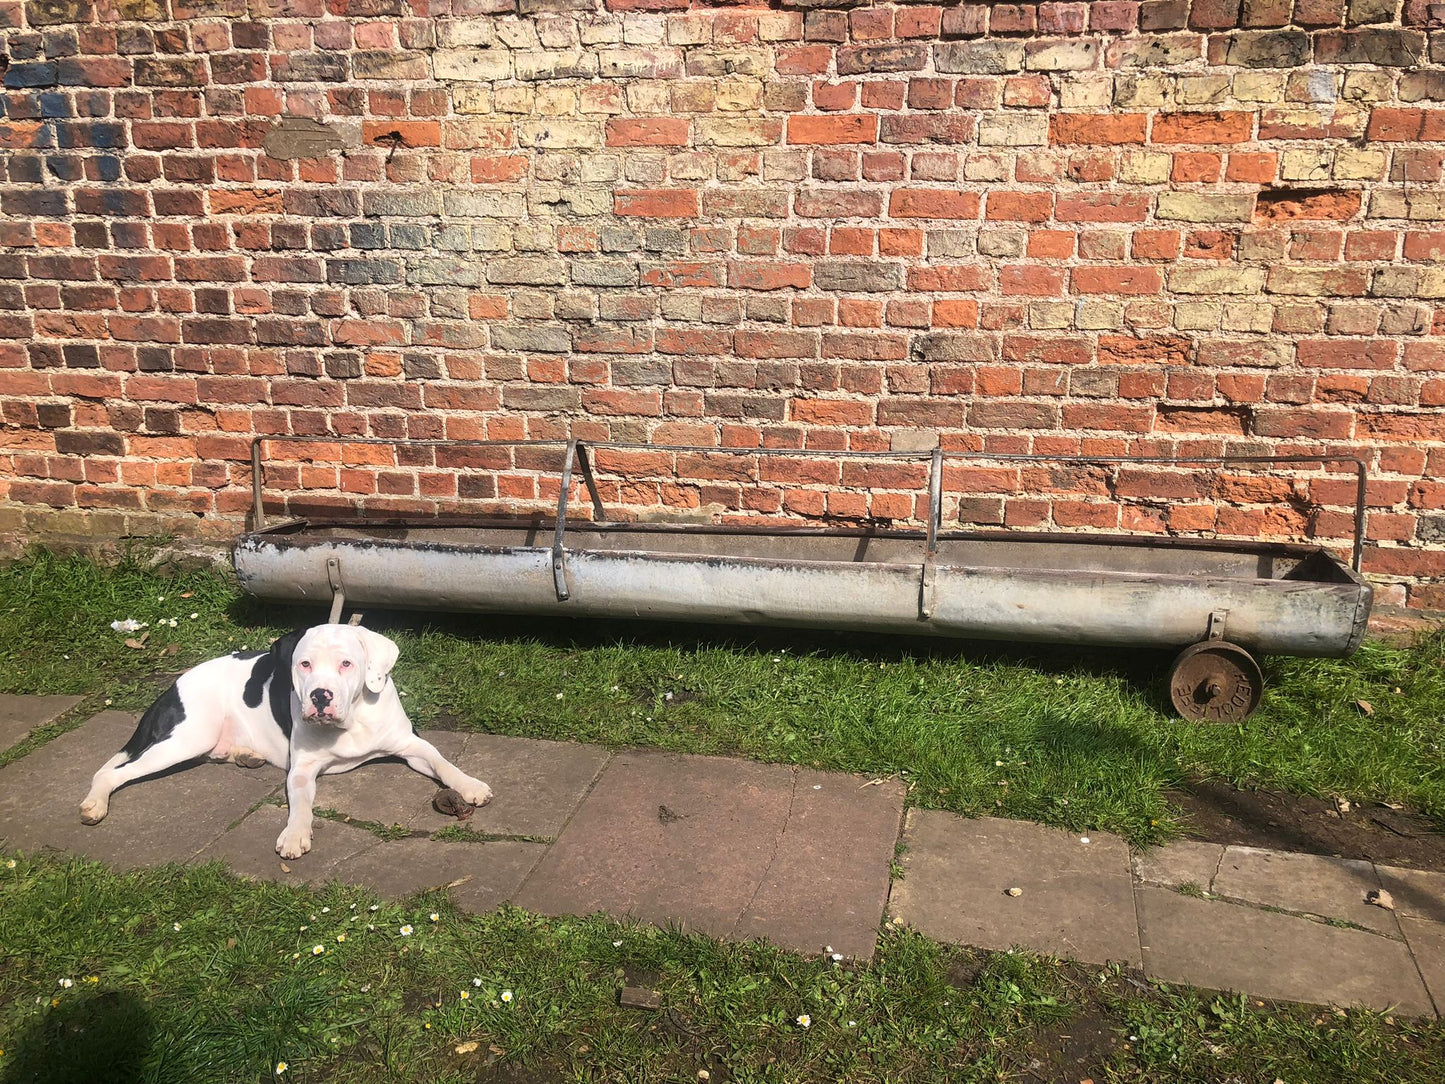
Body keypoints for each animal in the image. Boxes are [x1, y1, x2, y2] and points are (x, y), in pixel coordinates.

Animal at [80, 624, 497, 861]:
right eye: (304, 664)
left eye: (346, 663)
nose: (320, 696)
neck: (353, 720)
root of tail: (173, 684)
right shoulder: (302, 771)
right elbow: (300, 805)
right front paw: (295, 835)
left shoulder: (411, 746)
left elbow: (443, 762)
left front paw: (471, 786)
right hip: (184, 740)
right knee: (113, 771)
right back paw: (94, 804)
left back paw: (246, 755)